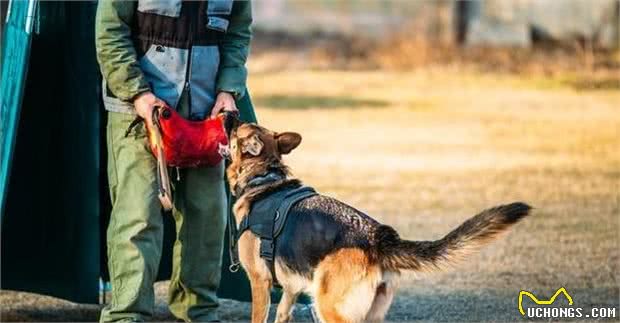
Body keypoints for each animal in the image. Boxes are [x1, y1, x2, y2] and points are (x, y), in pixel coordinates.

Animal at [228, 122, 532, 323]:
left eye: (235, 132)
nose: (228, 113)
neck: (263, 177)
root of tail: (380, 238)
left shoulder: (259, 282)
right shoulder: (291, 288)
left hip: (329, 308)